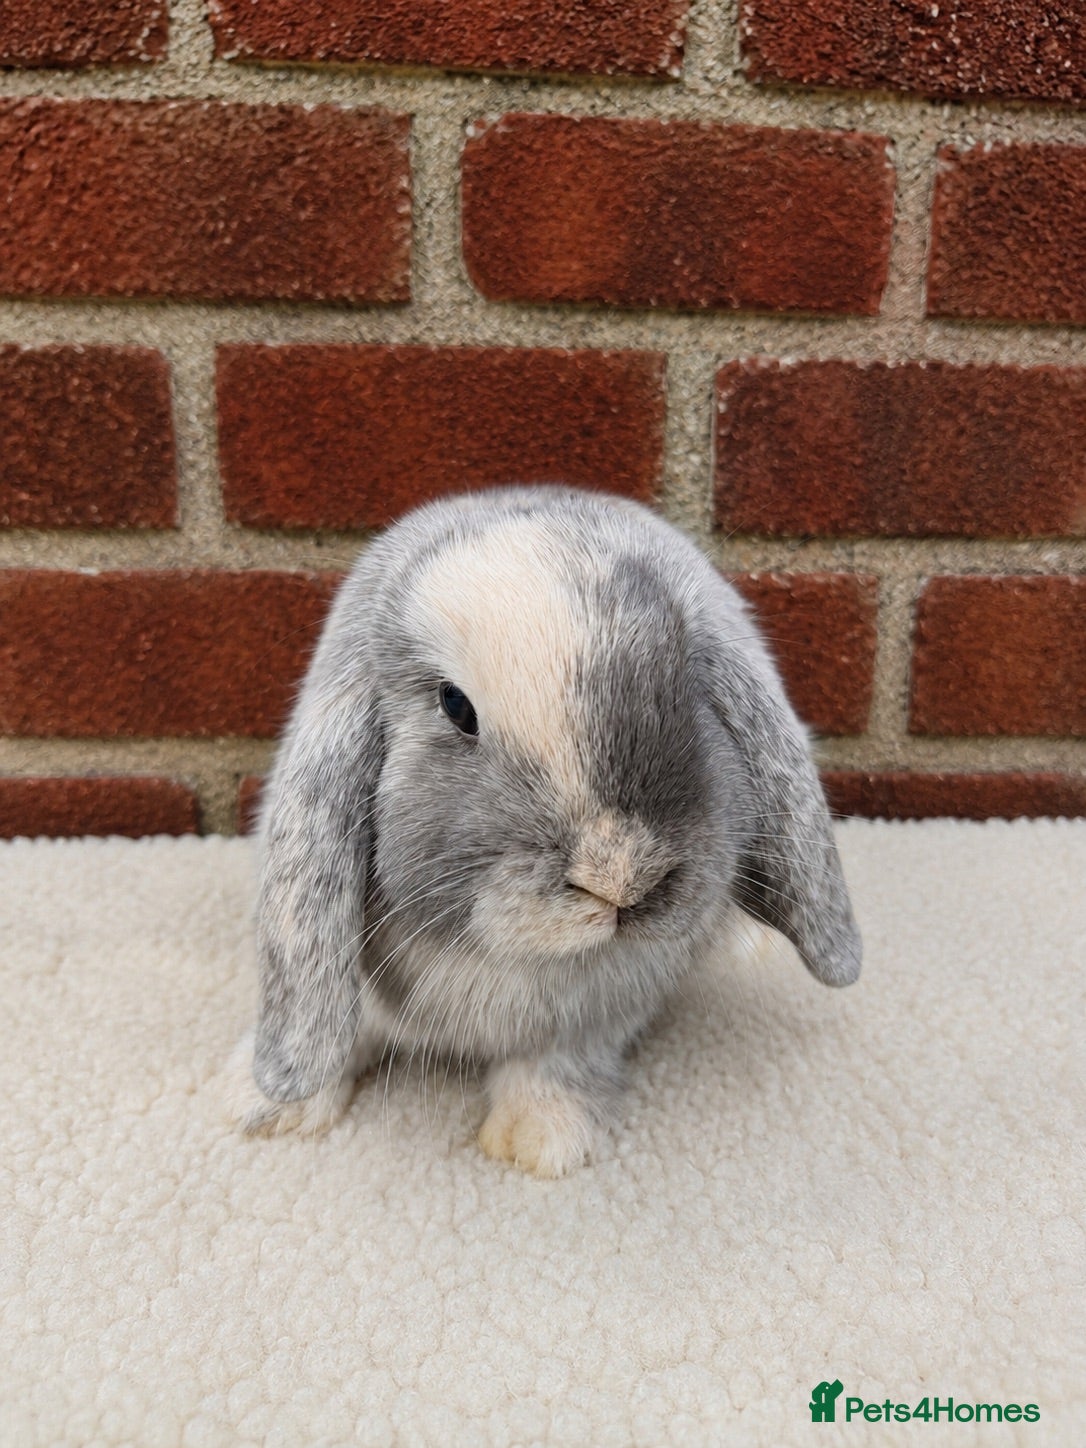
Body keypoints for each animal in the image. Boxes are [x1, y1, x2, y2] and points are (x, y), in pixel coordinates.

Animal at [228, 484, 861, 1177]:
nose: (620, 874)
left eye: (687, 683)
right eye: (455, 706)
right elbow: (340, 1035)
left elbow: (556, 1064)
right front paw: (266, 1110)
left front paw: (539, 1140)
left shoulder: (600, 1018)